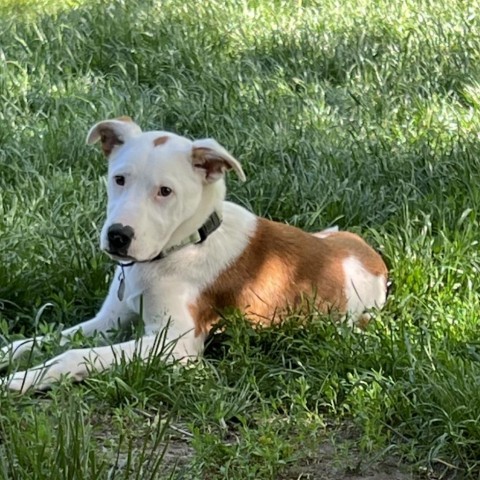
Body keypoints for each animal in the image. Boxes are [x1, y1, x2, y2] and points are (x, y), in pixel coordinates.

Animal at [0, 118, 388, 392]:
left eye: (165, 191)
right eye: (119, 179)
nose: (118, 236)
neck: (180, 247)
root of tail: (375, 261)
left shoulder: (173, 345)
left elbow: (75, 356)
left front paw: (18, 381)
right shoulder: (108, 321)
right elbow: (40, 340)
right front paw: (8, 356)